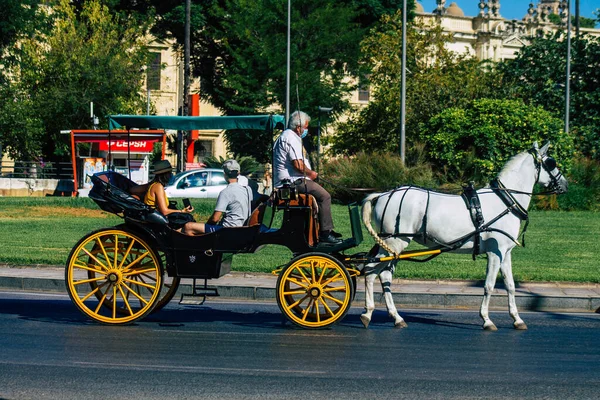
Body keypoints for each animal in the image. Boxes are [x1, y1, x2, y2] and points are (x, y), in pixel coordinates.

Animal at [360, 144, 568, 332]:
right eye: (551, 163)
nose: (565, 185)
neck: (505, 201)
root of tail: (384, 194)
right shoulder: (495, 252)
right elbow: (489, 285)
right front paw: (486, 319)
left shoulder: (505, 253)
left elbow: (510, 285)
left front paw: (516, 319)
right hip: (394, 242)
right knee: (372, 270)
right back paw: (369, 313)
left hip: (392, 245)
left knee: (382, 274)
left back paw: (395, 317)